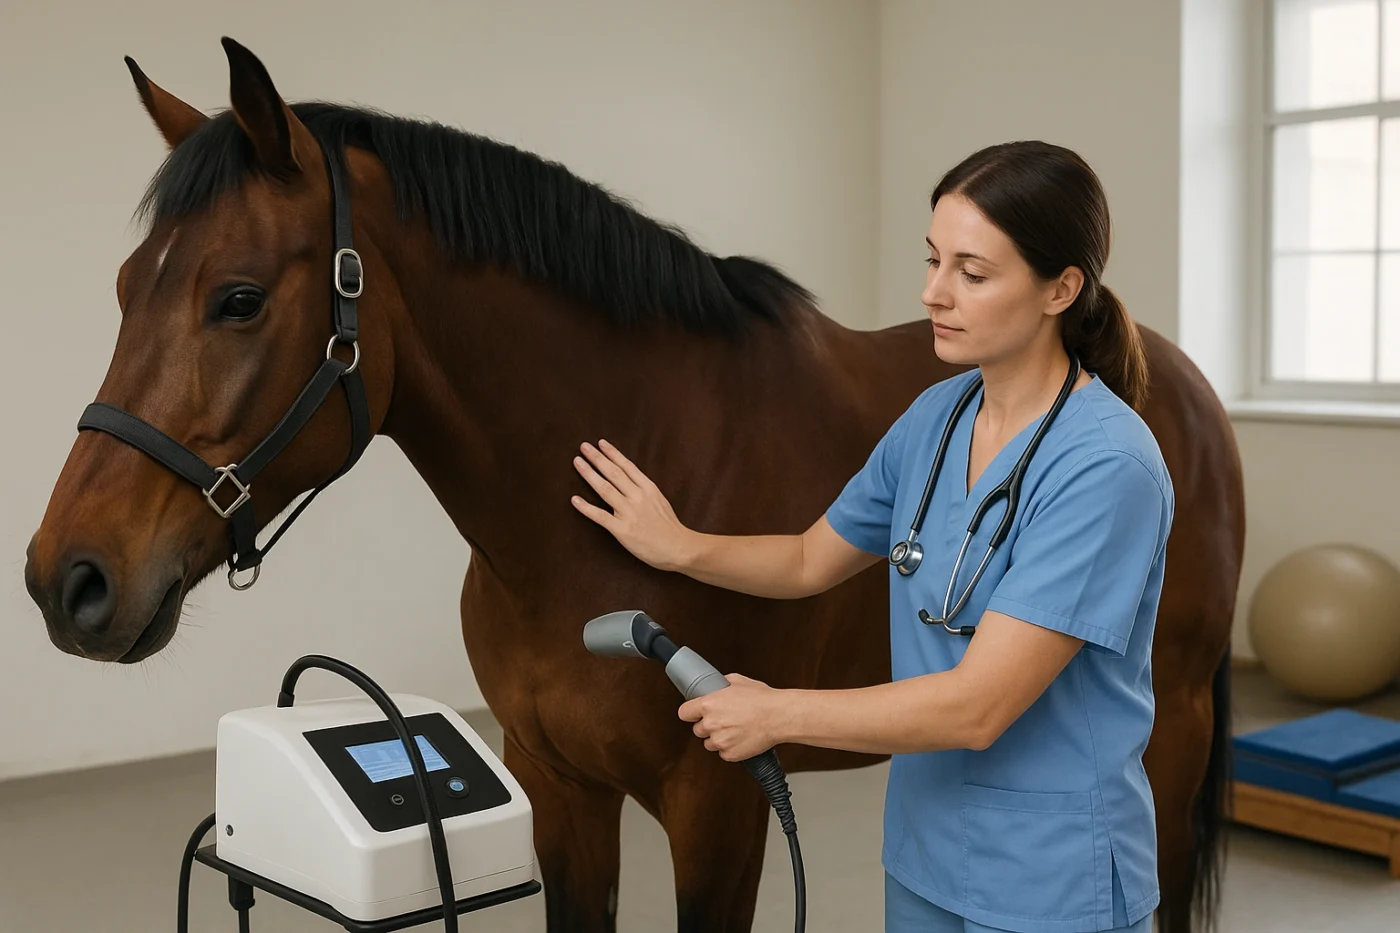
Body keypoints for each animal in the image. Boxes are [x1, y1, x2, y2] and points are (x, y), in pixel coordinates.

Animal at [23, 39, 1244, 933]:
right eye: (128, 286)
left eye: (235, 298)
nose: (65, 581)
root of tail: (1173, 376)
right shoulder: (558, 790)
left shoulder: (720, 809)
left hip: (1168, 736)